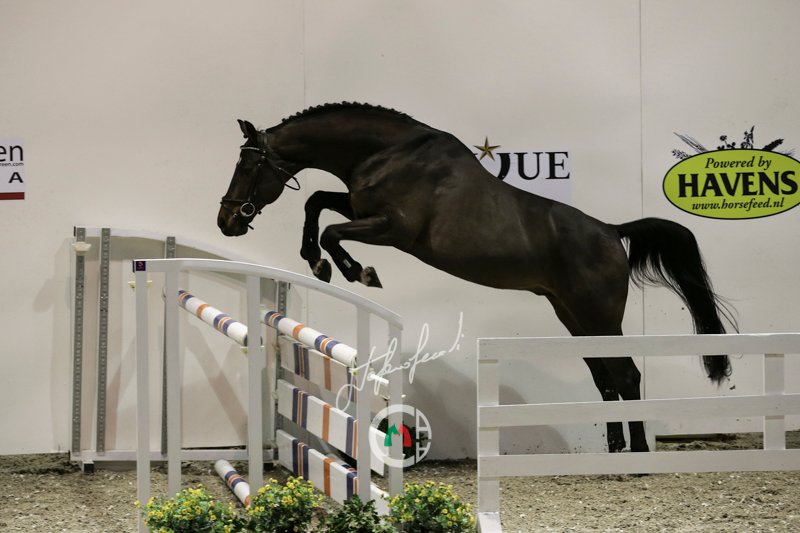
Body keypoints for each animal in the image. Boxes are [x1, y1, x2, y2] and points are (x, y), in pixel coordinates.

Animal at [217, 102, 734, 453]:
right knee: (606, 377)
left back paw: (639, 457)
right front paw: (319, 262)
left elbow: (329, 227)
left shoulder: (391, 229)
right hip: (574, 318)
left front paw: (351, 270)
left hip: (599, 317)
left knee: (625, 374)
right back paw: (613, 452)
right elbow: (317, 203)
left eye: (248, 163)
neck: (385, 153)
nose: (227, 222)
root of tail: (611, 232)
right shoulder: (362, 209)